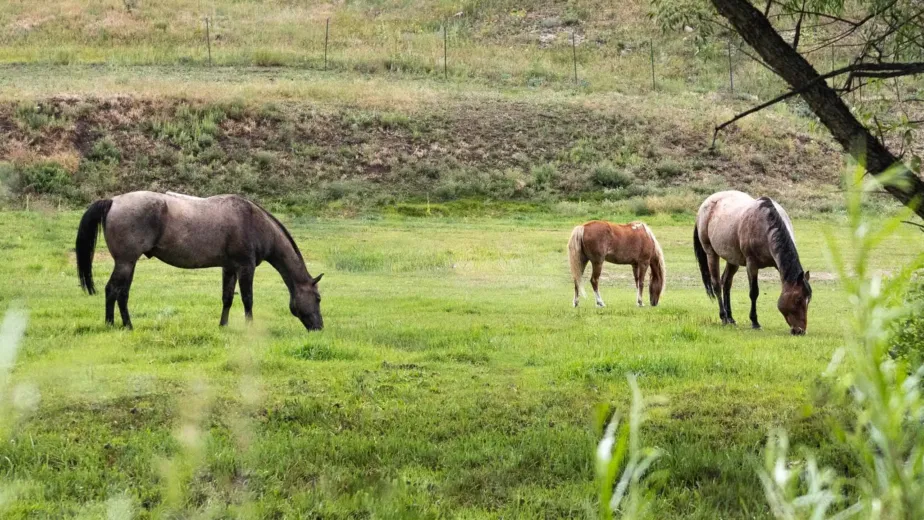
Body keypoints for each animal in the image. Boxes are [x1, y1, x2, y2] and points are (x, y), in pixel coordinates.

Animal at [75, 191, 324, 331]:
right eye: (319, 298)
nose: (319, 327)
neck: (254, 222)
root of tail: (113, 201)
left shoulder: (229, 268)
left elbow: (227, 298)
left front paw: (223, 326)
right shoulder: (246, 267)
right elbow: (248, 299)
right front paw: (249, 327)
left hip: (128, 263)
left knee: (119, 292)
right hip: (126, 262)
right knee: (114, 291)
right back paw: (118, 325)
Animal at [693, 190, 811, 335]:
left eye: (809, 300)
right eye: (798, 299)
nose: (800, 331)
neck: (765, 227)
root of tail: (706, 204)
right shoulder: (752, 265)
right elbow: (754, 292)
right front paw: (755, 322)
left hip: (732, 259)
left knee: (726, 283)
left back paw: (730, 317)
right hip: (711, 254)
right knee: (716, 285)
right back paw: (724, 317)